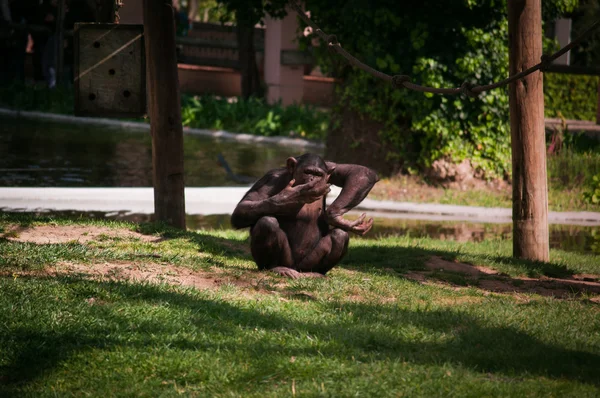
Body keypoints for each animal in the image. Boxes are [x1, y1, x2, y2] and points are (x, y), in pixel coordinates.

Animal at [231, 154, 380, 278]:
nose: (312, 179)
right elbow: (243, 207)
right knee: (267, 223)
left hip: (307, 263)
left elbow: (359, 172)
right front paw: (292, 196)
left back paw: (316, 273)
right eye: (307, 172)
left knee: (340, 235)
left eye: (318, 174)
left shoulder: (330, 168)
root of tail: (296, 269)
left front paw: (335, 215)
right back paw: (276, 268)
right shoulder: (270, 178)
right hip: (287, 261)